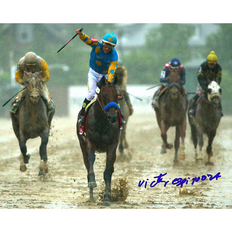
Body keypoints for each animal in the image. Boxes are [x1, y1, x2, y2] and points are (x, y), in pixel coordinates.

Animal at [76, 76, 120, 207]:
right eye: (104, 95)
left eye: (117, 95)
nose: (112, 117)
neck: (102, 123)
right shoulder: (90, 142)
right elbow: (91, 160)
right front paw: (92, 182)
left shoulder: (112, 145)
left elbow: (108, 170)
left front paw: (107, 197)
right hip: (82, 144)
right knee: (87, 164)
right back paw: (91, 196)